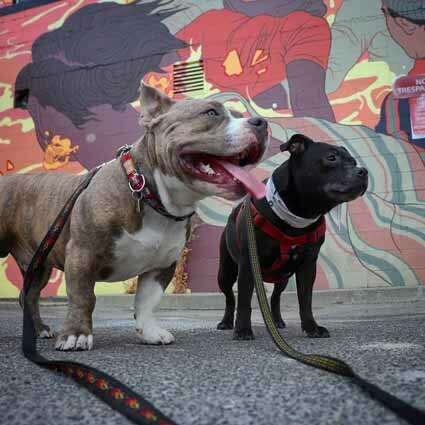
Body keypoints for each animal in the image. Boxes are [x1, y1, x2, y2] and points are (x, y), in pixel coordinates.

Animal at [217, 134, 366, 340]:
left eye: (353, 162)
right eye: (331, 158)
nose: (363, 171)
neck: (297, 214)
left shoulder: (308, 265)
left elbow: (305, 299)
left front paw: (311, 327)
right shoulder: (248, 263)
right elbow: (244, 299)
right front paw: (242, 330)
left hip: (283, 277)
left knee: (275, 297)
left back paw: (276, 321)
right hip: (225, 273)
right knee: (230, 298)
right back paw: (226, 322)